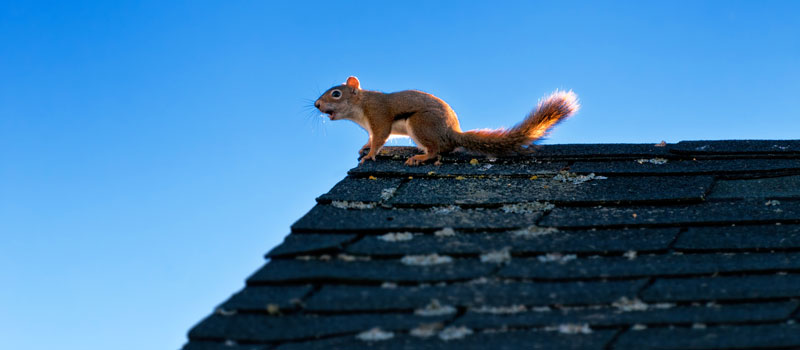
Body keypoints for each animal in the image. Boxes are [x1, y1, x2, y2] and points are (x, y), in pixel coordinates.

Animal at [314, 76, 580, 165]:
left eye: (336, 94)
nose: (316, 105)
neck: (361, 107)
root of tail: (452, 132)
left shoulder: (379, 116)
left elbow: (380, 137)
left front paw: (369, 155)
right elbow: (371, 138)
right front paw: (365, 147)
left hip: (419, 125)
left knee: (436, 151)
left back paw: (420, 157)